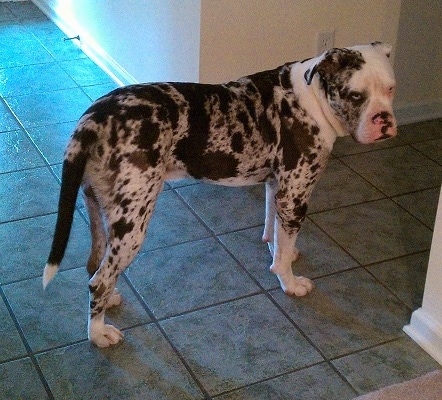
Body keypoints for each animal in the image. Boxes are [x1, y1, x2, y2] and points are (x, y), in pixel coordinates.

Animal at [44, 42, 398, 346]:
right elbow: (283, 253)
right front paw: (290, 283)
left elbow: (274, 233)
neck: (311, 99)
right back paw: (98, 334)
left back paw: (110, 301)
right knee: (98, 280)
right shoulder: (295, 196)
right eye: (355, 95)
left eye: (392, 88)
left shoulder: (277, 188)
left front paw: (278, 251)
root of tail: (95, 117)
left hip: (100, 208)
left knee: (95, 266)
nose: (384, 120)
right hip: (133, 220)